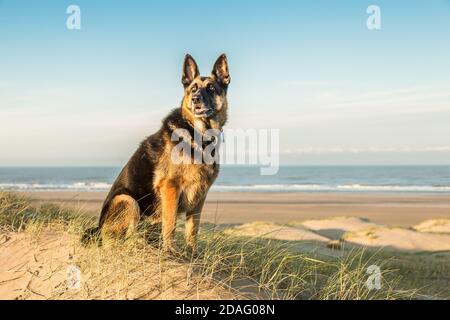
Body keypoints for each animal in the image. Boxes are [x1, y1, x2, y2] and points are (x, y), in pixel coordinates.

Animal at [84, 53, 230, 252]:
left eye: (211, 88)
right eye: (193, 89)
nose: (195, 99)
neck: (198, 134)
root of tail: (98, 229)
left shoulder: (200, 196)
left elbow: (193, 229)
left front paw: (192, 253)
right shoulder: (170, 188)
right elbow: (170, 224)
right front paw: (170, 251)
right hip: (127, 200)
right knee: (124, 240)